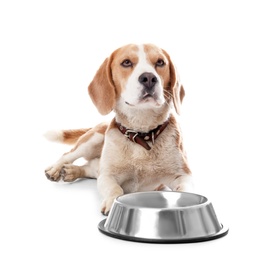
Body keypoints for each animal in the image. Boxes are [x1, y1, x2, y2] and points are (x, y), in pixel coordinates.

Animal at [45, 43, 194, 214]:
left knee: (88, 168)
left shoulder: (182, 175)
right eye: (126, 62)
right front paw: (113, 203)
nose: (149, 78)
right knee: (67, 155)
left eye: (160, 62)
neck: (141, 133)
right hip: (92, 140)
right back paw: (55, 169)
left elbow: (186, 189)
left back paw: (71, 171)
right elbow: (116, 189)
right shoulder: (108, 176)